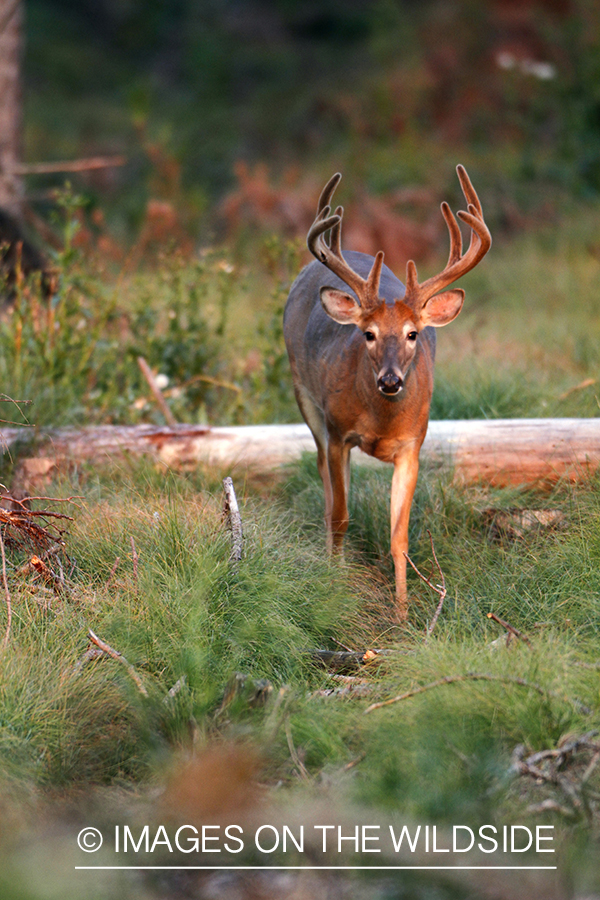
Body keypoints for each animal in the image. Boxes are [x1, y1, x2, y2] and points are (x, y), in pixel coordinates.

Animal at [284, 165, 490, 620]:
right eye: (368, 334)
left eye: (413, 334)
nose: (391, 381)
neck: (381, 421)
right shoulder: (338, 432)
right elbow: (341, 516)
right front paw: (336, 586)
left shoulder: (413, 445)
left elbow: (400, 537)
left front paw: (403, 613)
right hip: (304, 396)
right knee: (326, 483)